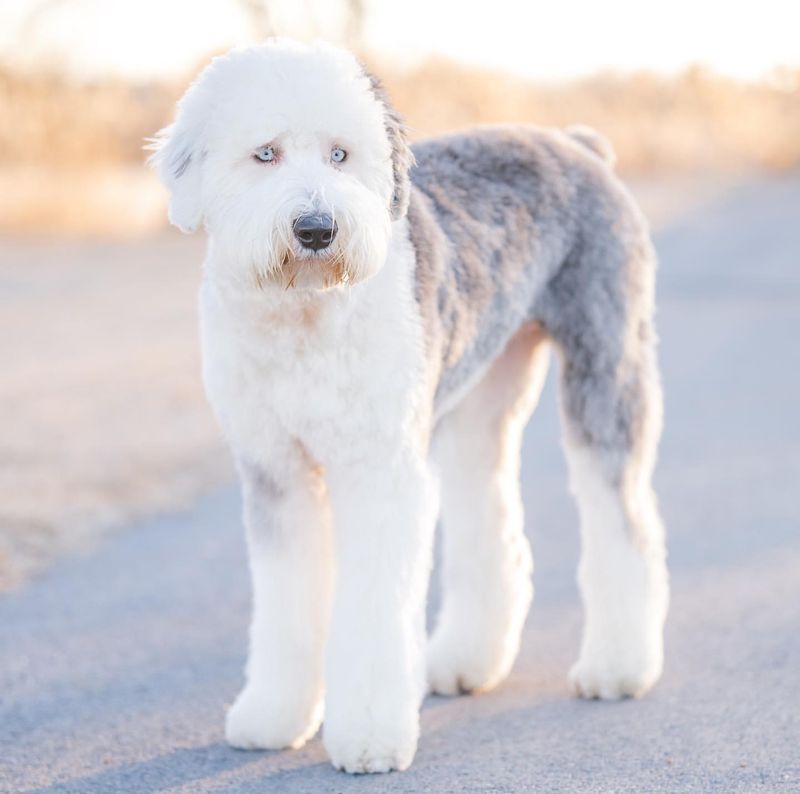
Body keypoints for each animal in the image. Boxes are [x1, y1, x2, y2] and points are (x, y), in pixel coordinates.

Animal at [148, 40, 668, 772]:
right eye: (265, 153)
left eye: (340, 154)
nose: (316, 228)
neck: (306, 313)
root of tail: (578, 144)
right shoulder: (276, 469)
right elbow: (286, 601)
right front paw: (275, 716)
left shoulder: (379, 469)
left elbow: (372, 605)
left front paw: (368, 734)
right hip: (481, 397)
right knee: (490, 525)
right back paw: (463, 663)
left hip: (606, 363)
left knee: (623, 520)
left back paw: (618, 668)